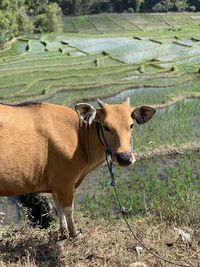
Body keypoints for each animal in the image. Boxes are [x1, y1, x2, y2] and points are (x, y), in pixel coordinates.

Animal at [0, 100, 155, 237]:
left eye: (131, 125)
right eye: (106, 126)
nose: (125, 157)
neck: (79, 136)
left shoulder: (55, 186)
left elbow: (58, 208)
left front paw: (63, 231)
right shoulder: (65, 183)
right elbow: (68, 210)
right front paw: (74, 233)